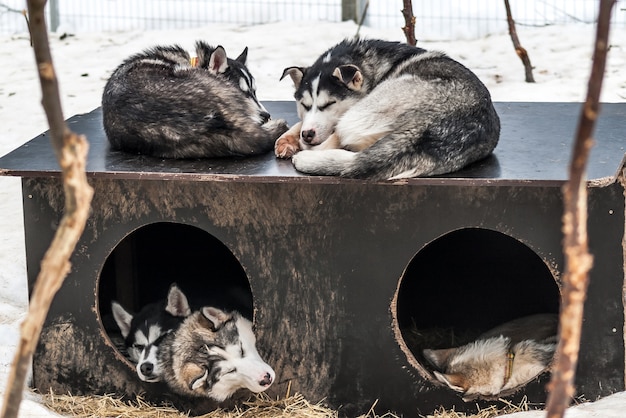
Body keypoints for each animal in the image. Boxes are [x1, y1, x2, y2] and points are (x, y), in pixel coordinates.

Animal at [276, 39, 500, 181]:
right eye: (304, 105)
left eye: (329, 104)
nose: (308, 134)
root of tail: (427, 127)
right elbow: (301, 122)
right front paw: (287, 139)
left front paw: (296, 140)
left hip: (363, 110)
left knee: (334, 139)